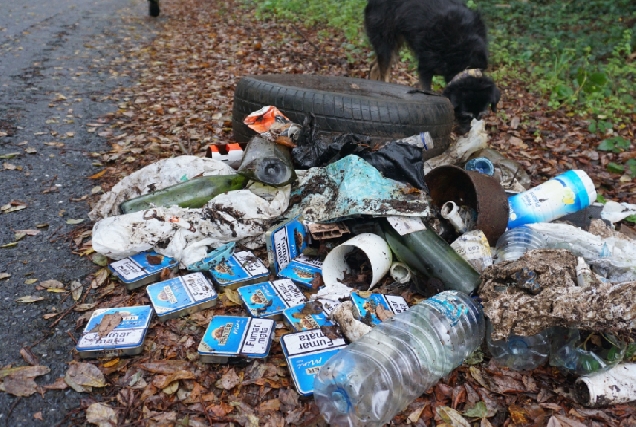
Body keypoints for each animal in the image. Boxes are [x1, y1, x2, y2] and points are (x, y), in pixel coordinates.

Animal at [366, 0, 500, 132]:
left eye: (481, 115)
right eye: (464, 115)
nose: (467, 132)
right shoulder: (425, 69)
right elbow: (426, 90)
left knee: (374, 66)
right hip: (386, 41)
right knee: (384, 71)